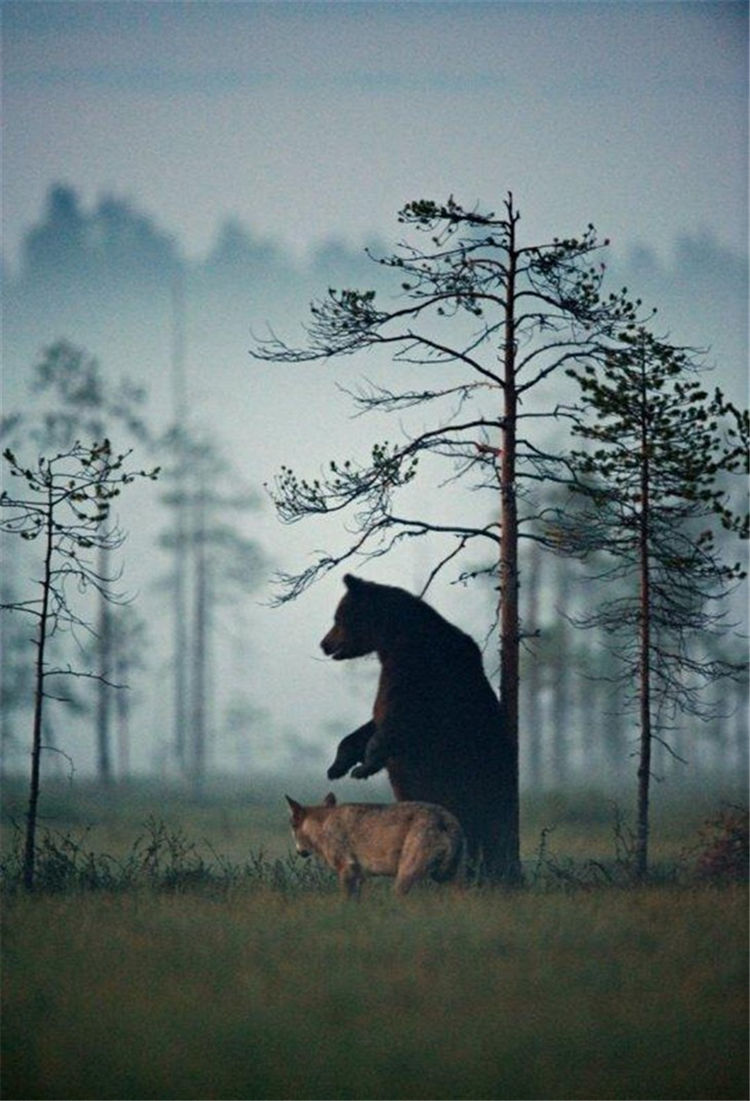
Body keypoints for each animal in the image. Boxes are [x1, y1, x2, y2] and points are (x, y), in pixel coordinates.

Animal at [321, 573, 517, 880]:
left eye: (338, 617)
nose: (325, 643)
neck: (394, 638)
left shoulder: (419, 671)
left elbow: (398, 720)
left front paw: (364, 766)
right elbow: (371, 723)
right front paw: (338, 765)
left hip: (473, 779)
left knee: (480, 825)